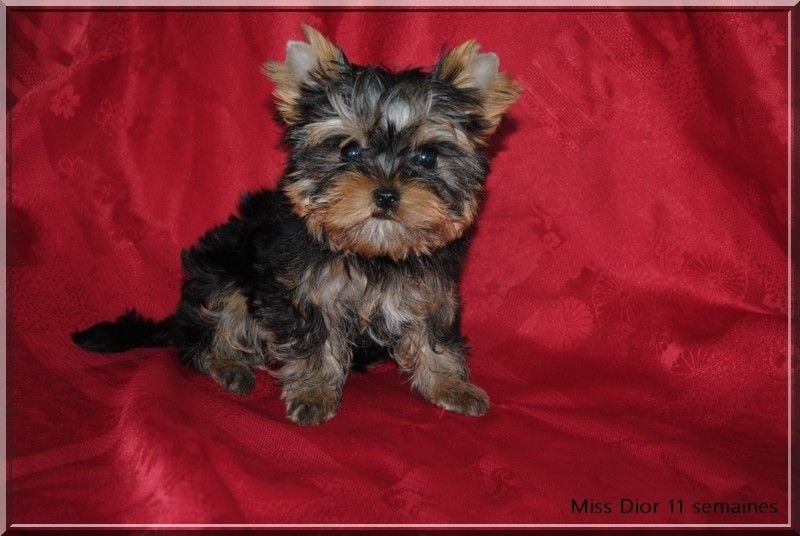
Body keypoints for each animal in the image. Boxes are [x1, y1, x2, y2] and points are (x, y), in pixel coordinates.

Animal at [72, 25, 520, 425]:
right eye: (349, 150)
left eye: (427, 158)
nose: (387, 194)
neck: (373, 253)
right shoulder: (302, 289)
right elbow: (313, 341)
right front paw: (313, 393)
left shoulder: (429, 289)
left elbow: (434, 334)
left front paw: (450, 384)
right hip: (220, 274)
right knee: (205, 333)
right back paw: (230, 366)